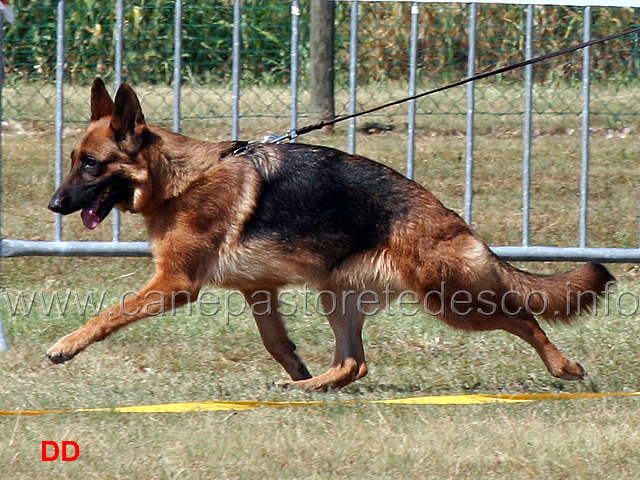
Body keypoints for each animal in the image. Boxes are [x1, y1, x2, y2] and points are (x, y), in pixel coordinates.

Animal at [47, 79, 612, 392]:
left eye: (90, 164)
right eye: (73, 160)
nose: (53, 205)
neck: (178, 179)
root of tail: (452, 218)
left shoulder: (174, 284)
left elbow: (110, 312)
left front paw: (66, 346)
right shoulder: (259, 290)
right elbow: (276, 341)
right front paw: (297, 369)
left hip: (449, 300)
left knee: (523, 318)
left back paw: (564, 365)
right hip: (337, 296)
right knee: (353, 363)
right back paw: (313, 385)